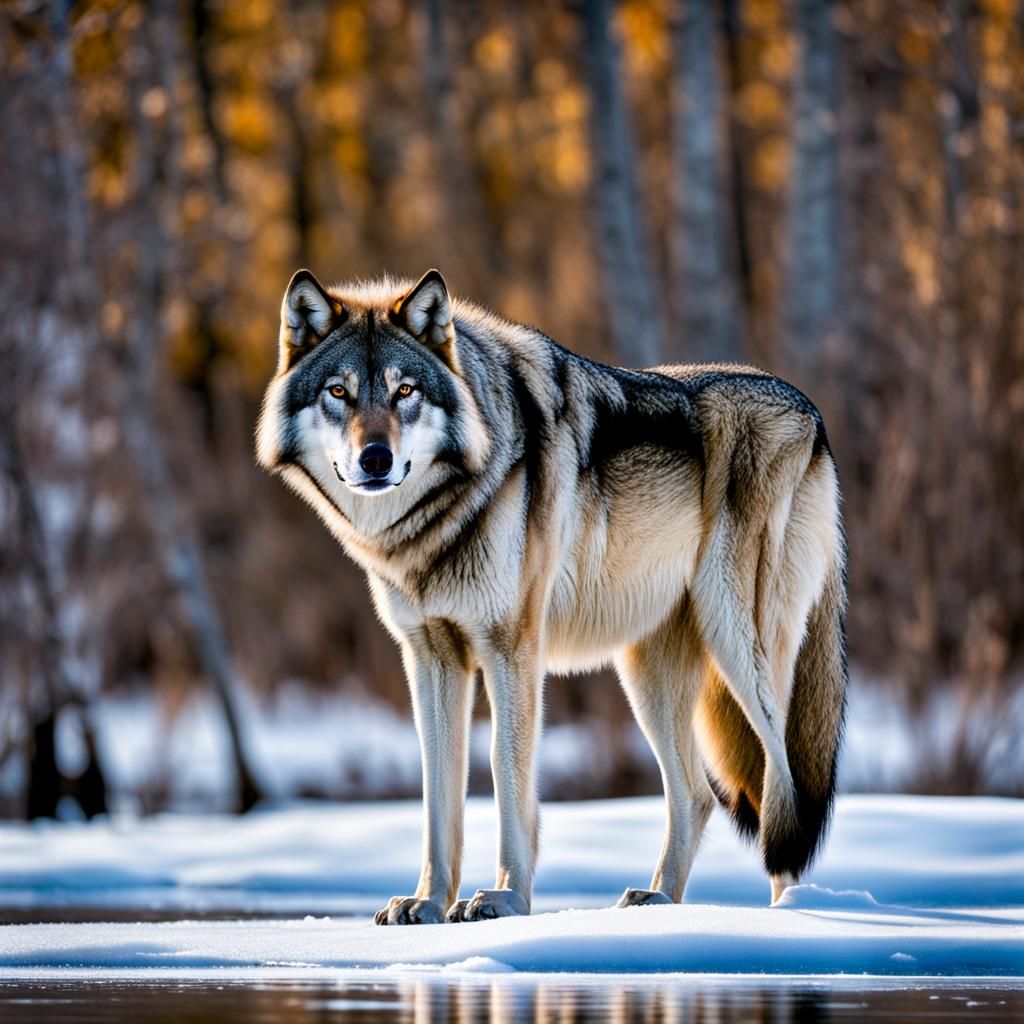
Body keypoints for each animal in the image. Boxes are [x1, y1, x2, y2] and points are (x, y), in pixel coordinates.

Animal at [257, 268, 847, 925]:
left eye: (404, 390)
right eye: (339, 392)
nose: (376, 458)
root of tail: (815, 416)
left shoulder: (511, 648)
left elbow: (504, 769)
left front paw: (505, 898)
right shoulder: (430, 657)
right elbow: (439, 788)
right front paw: (428, 902)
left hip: (741, 649)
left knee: (783, 788)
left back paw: (788, 917)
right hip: (649, 676)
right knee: (696, 795)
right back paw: (659, 902)